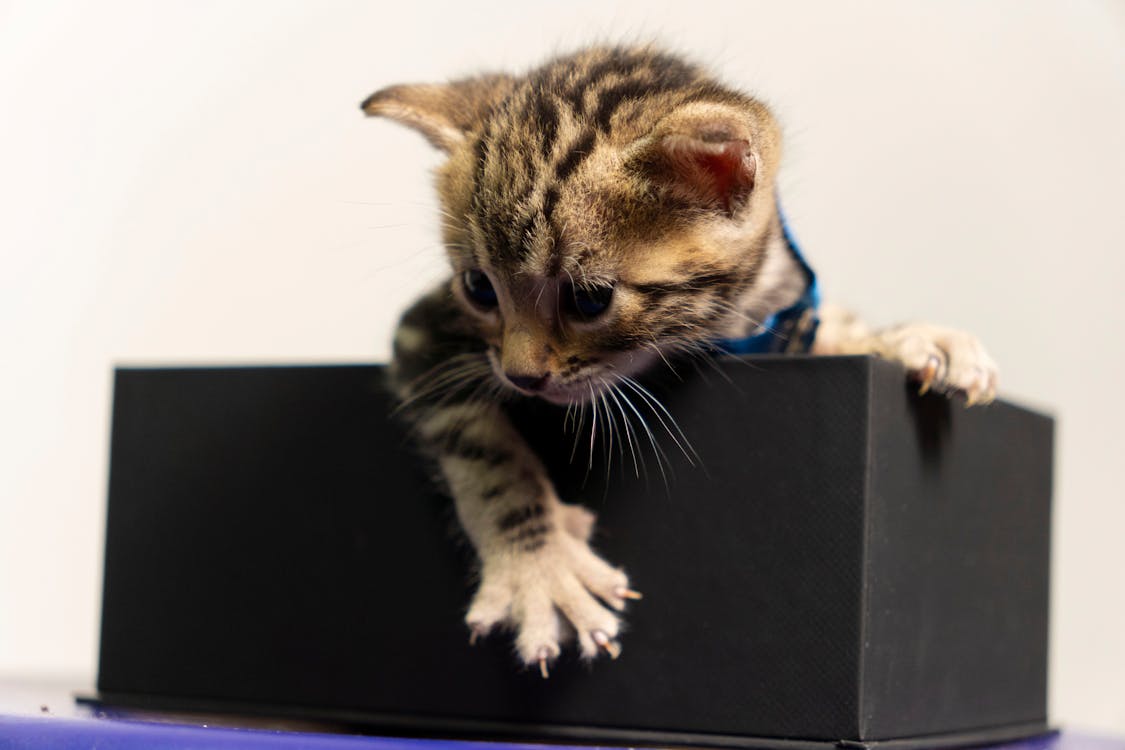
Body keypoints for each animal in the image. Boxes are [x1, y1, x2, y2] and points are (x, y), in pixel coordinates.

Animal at [357, 48, 994, 679]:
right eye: (478, 289)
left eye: (589, 300)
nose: (522, 377)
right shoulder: (425, 333)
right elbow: (484, 452)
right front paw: (540, 571)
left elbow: (829, 328)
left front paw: (910, 339)